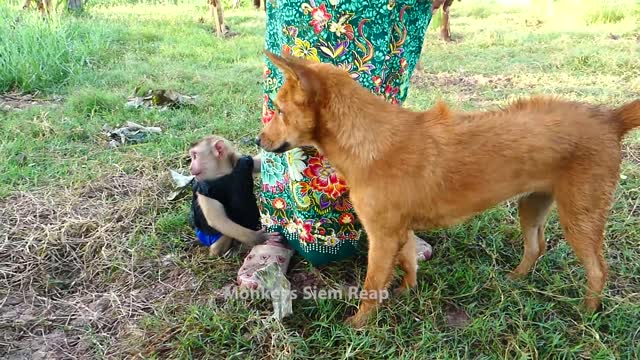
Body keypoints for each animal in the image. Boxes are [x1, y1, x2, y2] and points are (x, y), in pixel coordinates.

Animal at [258, 50, 640, 330]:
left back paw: (587, 312)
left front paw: (358, 324)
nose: (258, 141)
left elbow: (371, 288)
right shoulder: (400, 231)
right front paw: (408, 292)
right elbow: (409, 263)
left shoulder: (381, 237)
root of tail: (611, 118)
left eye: (279, 110)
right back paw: (515, 279)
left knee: (598, 270)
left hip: (580, 217)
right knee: (537, 247)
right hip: (532, 206)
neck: (368, 139)